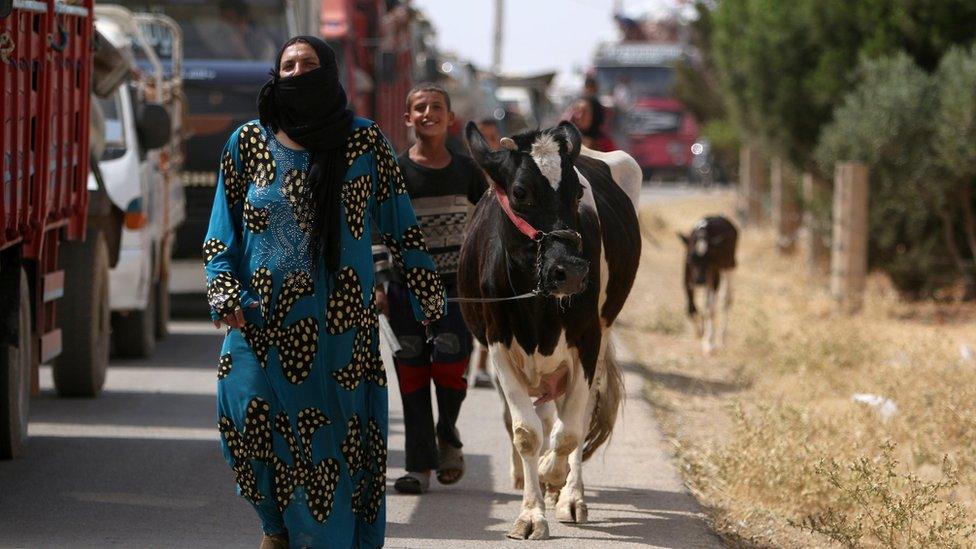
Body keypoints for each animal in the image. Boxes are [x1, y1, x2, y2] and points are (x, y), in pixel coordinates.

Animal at [462, 121, 644, 540]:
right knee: (538, 416)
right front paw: (531, 513)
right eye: (519, 192)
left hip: (601, 335)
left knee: (576, 415)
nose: (571, 271)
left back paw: (570, 494)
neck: (538, 309)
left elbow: (569, 431)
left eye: (577, 193)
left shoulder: (588, 341)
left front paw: (551, 474)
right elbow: (526, 430)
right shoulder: (498, 344)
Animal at [680, 216, 740, 354]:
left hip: (730, 265)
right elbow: (691, 308)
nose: (699, 280)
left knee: (726, 299)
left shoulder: (714, 275)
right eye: (690, 259)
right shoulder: (687, 278)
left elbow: (710, 310)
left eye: (709, 259)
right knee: (705, 302)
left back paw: (722, 337)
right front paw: (700, 331)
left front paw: (709, 343)